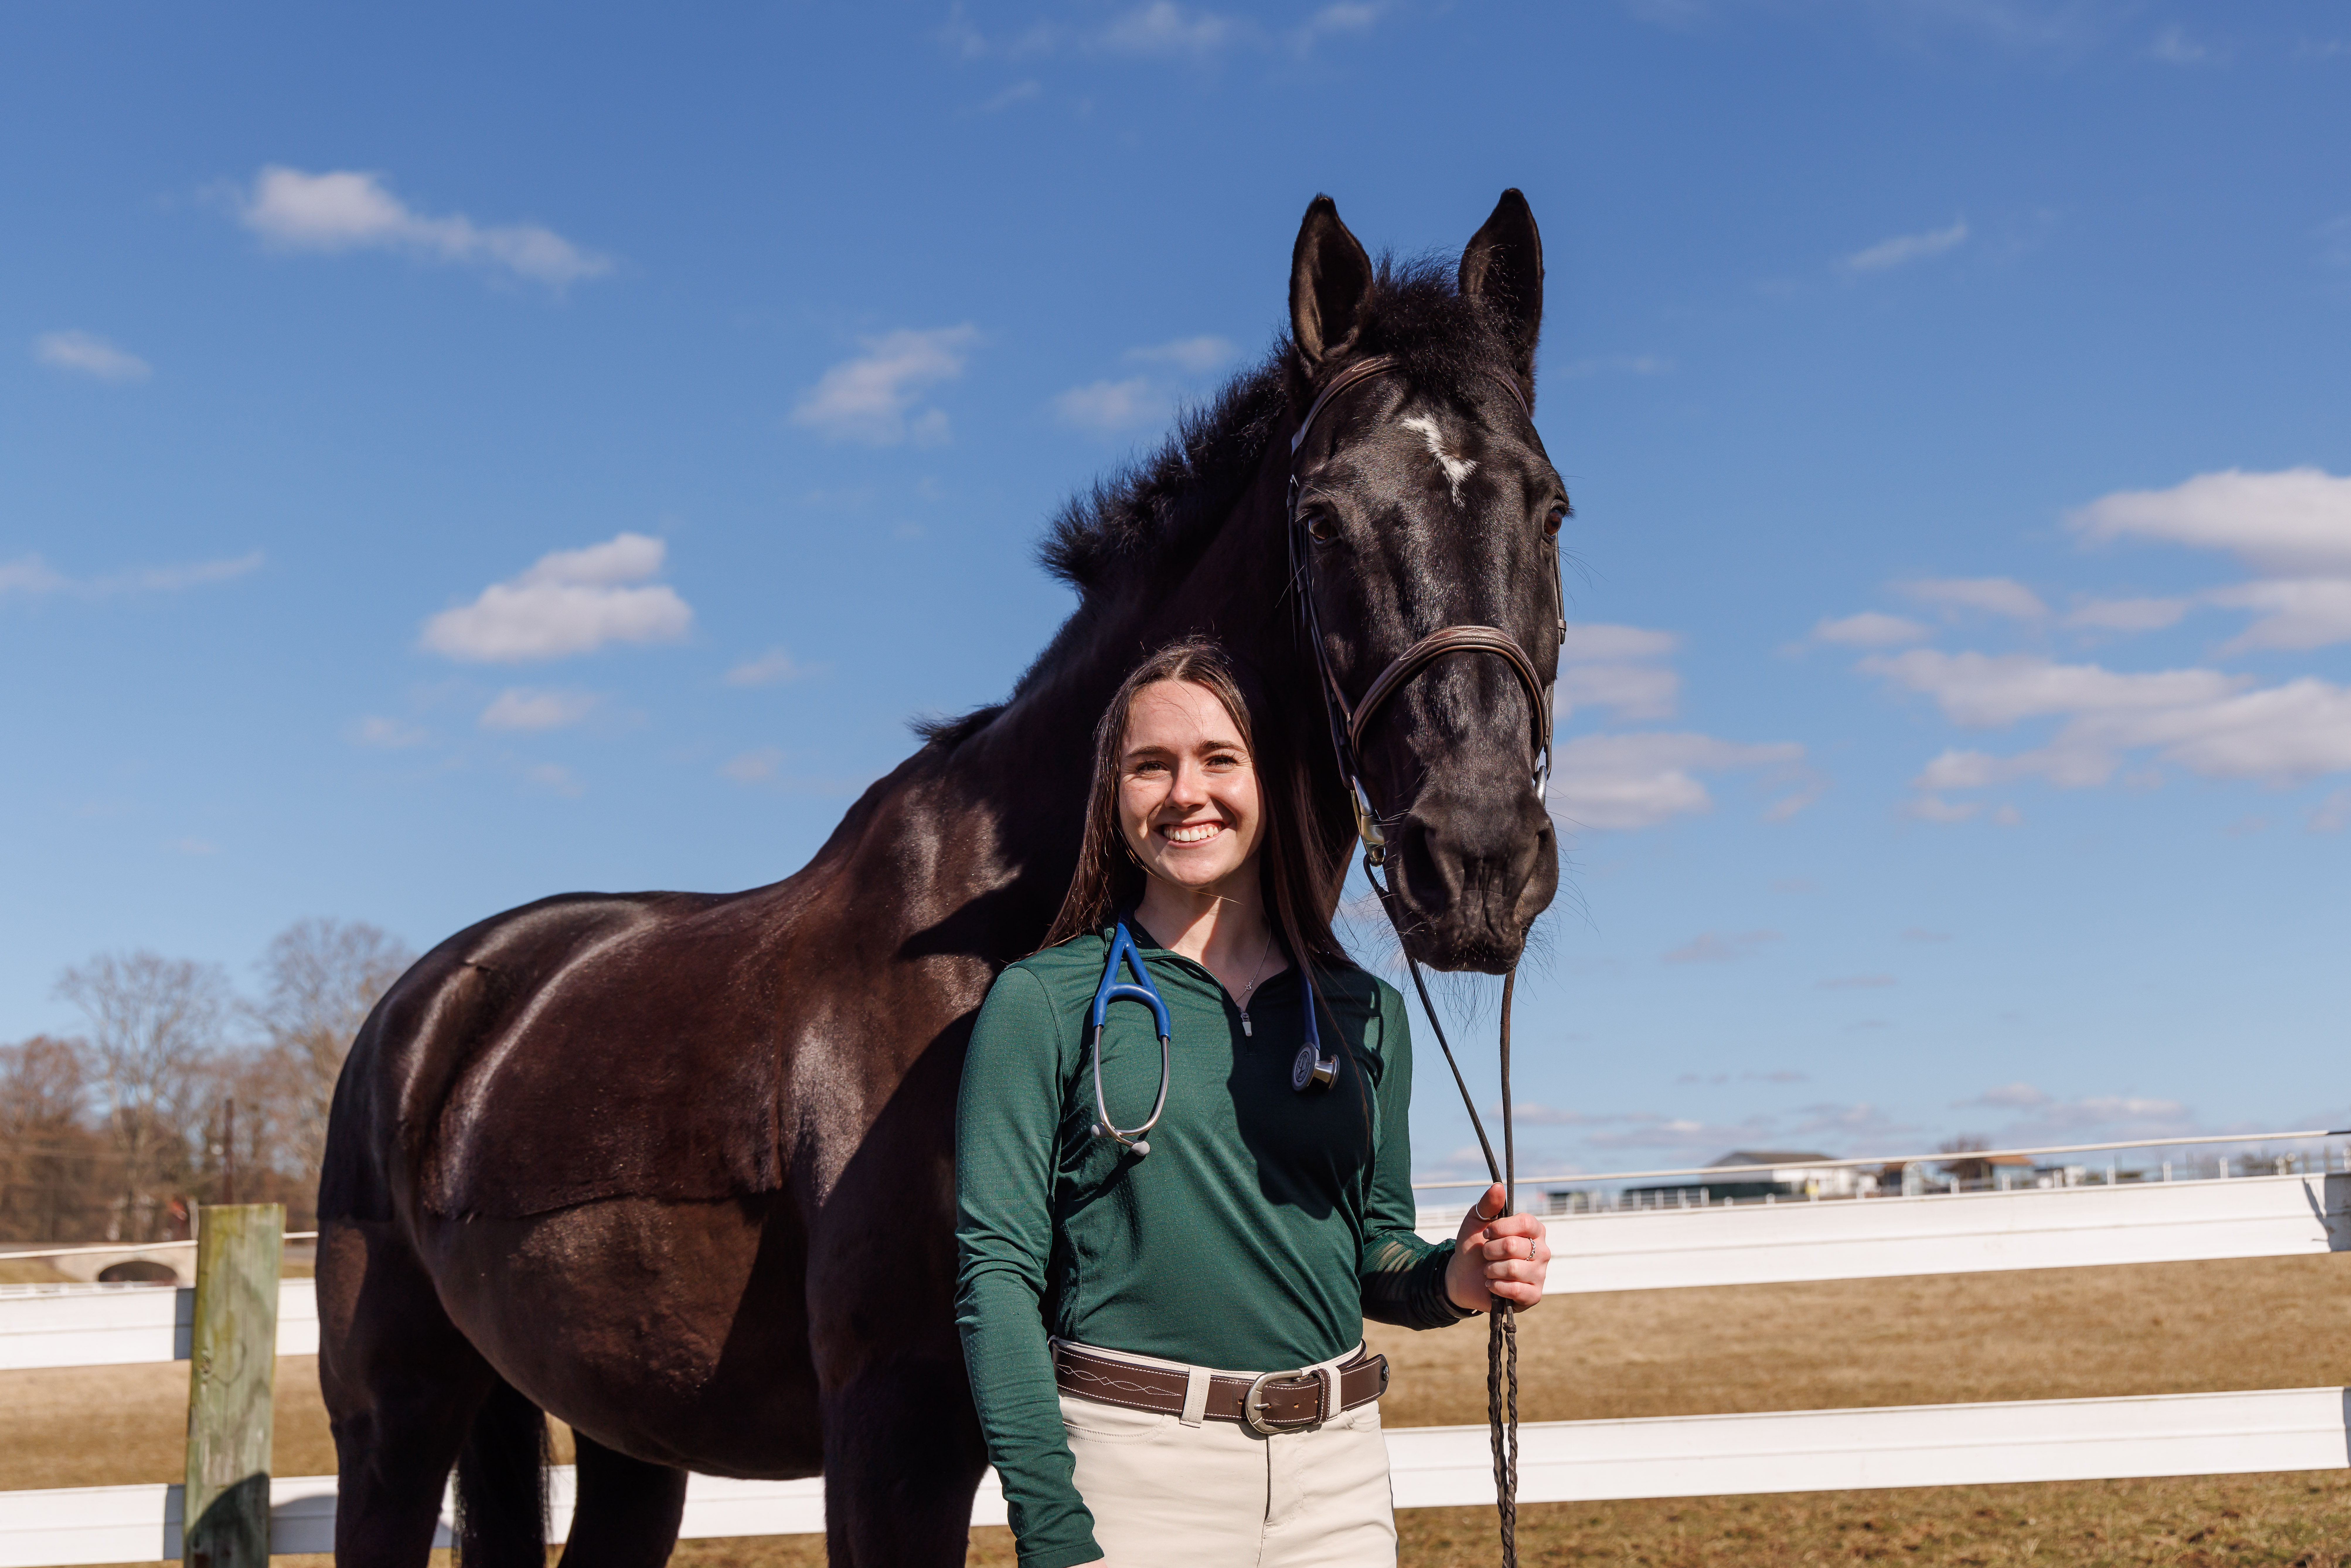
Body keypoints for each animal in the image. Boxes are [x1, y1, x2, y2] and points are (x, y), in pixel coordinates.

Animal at [316, 189, 1569, 1567]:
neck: (998, 933)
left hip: (624, 1430)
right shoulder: (895, 1430)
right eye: (1323, 517)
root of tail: (430, 1005)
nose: (1476, 853)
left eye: (1550, 506)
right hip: (395, 1417)